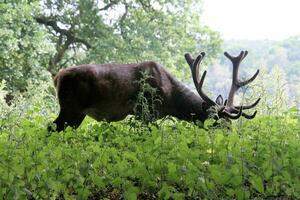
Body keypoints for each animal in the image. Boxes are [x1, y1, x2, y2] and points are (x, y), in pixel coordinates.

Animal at [49, 50, 260, 132]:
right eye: (220, 122)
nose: (231, 136)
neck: (171, 99)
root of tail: (57, 77)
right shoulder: (146, 111)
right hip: (70, 106)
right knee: (52, 127)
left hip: (77, 113)